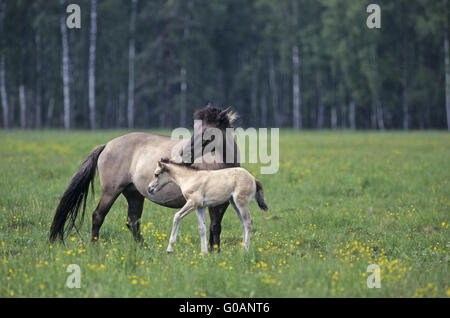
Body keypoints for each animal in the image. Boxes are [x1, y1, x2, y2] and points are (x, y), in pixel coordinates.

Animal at [48, 104, 239, 251]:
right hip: (111, 192)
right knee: (98, 216)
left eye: (208, 132)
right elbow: (213, 227)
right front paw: (215, 252)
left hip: (134, 194)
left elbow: (215, 227)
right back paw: (95, 247)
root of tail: (107, 145)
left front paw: (215, 251)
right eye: (196, 129)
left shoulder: (221, 203)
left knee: (132, 222)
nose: (183, 154)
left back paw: (145, 249)